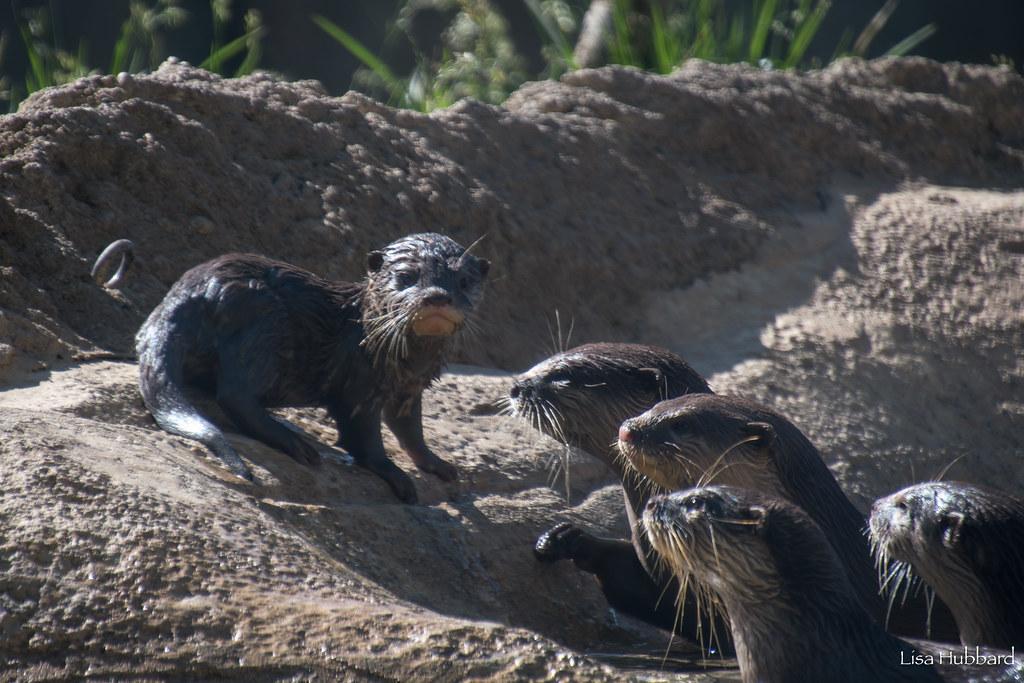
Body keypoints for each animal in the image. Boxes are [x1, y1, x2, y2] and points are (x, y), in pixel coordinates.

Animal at [135, 233, 489, 503]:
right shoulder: (360, 382)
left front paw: (437, 464)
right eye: (406, 277)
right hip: (263, 322)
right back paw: (296, 443)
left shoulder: (409, 388)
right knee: (234, 394)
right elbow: (364, 438)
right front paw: (395, 474)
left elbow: (410, 431)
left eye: (463, 281)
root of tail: (189, 290)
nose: (437, 296)